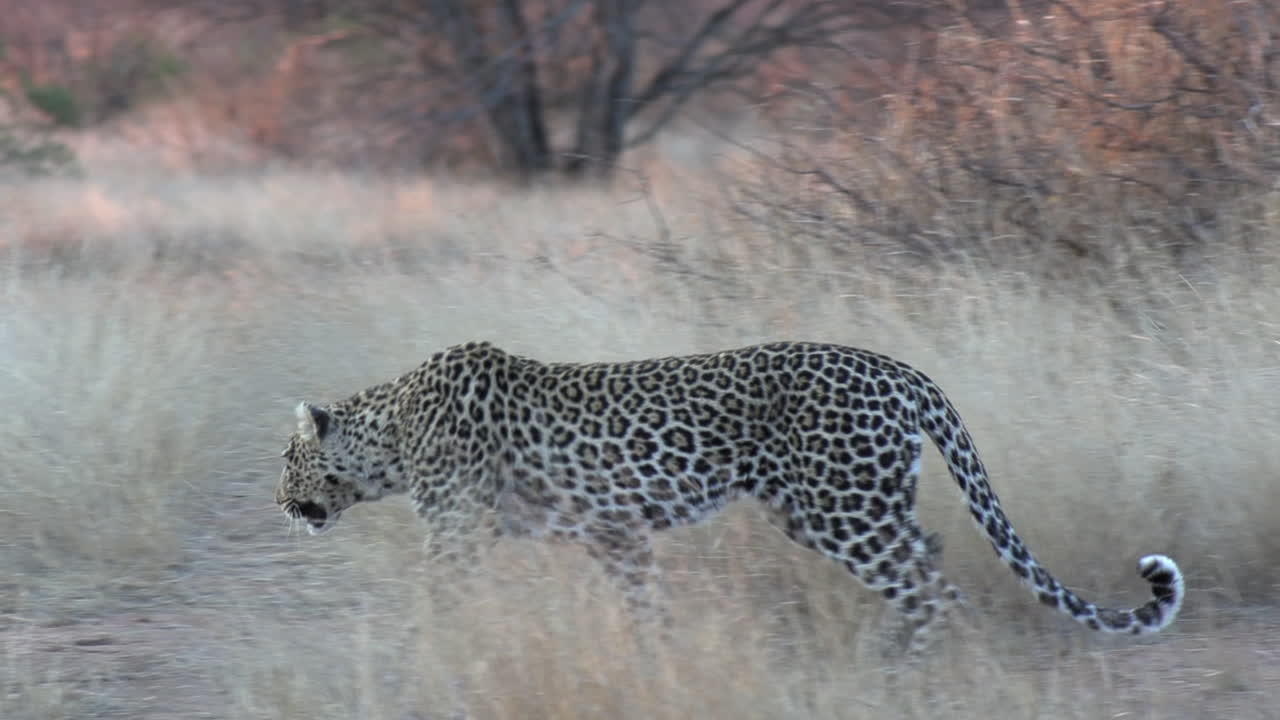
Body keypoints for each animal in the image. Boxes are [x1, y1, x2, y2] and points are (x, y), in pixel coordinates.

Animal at [276, 340, 1184, 651]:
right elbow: (643, 603)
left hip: (842, 511)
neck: (392, 432)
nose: (280, 504)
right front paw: (656, 655)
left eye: (285, 460)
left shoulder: (457, 535)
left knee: (935, 588)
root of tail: (898, 368)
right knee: (927, 561)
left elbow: (435, 604)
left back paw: (905, 671)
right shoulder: (616, 534)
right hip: (835, 509)